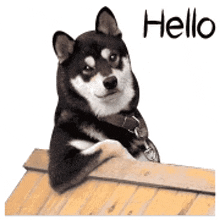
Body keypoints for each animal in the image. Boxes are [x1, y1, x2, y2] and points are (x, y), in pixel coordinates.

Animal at [48, 6, 160, 192]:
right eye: (87, 68)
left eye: (113, 57)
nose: (110, 81)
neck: (108, 118)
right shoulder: (59, 168)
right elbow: (110, 143)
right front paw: (129, 159)